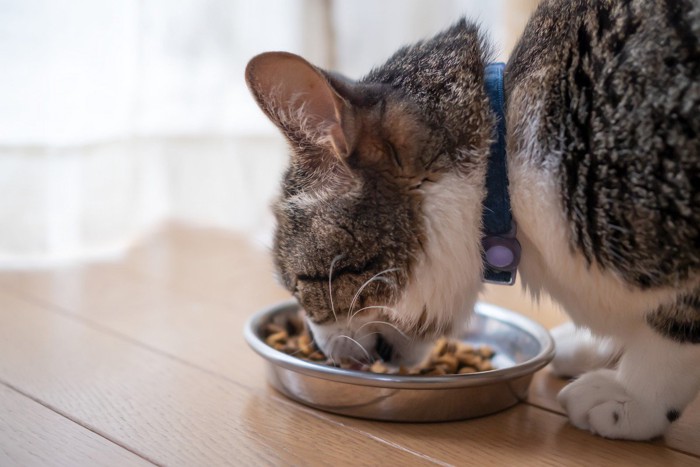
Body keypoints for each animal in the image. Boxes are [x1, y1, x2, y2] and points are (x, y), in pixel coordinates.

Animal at [245, 0, 696, 442]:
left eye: (300, 286)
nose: (324, 351)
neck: (506, 176)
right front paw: (601, 348)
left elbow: (673, 333)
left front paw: (633, 396)